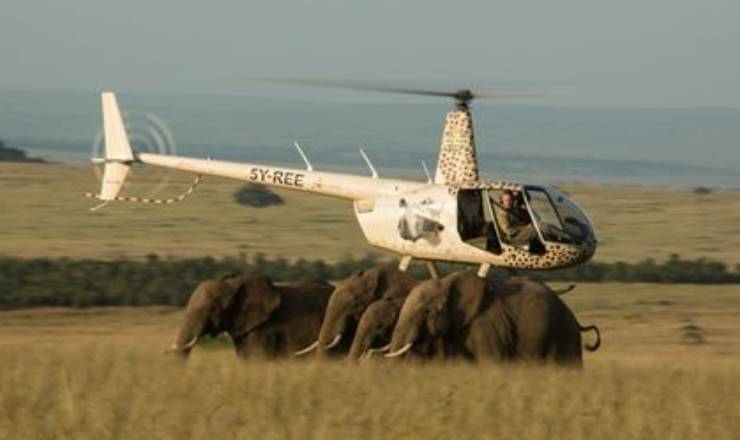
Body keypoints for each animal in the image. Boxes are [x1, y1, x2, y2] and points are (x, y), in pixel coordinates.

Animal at [385, 272, 600, 366]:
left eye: (425, 311)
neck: (447, 282)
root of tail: (577, 321)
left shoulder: (487, 321)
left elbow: (492, 361)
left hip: (565, 332)